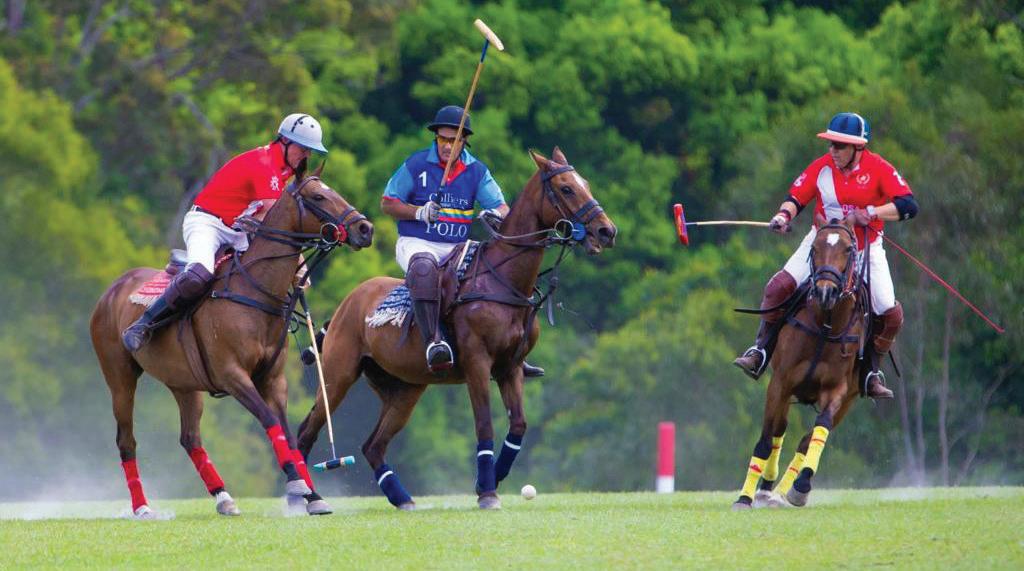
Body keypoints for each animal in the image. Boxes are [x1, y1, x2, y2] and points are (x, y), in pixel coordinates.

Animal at [90, 169, 373, 518]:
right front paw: (297, 484)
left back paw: (223, 497)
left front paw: (313, 496)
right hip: (119, 375)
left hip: (183, 383)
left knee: (190, 437)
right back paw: (143, 508)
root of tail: (113, 288)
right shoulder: (232, 375)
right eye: (318, 196)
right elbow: (269, 421)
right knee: (126, 440)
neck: (255, 292)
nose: (365, 228)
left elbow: (288, 434)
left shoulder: (273, 378)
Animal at [295, 147, 617, 509]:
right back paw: (307, 498)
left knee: (373, 445)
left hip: (405, 388)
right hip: (338, 375)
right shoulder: (477, 361)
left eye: (585, 184)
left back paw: (402, 498)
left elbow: (518, 425)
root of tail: (346, 303)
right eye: (566, 188)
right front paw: (488, 491)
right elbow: (485, 425)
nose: (606, 231)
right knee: (307, 431)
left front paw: (490, 479)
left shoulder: (511, 367)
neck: (504, 280)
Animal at [733, 214, 866, 510]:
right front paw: (744, 497)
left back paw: (785, 491)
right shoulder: (780, 382)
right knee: (779, 429)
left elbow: (819, 429)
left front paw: (802, 486)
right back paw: (766, 489)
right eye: (814, 248)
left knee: (807, 439)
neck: (825, 325)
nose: (826, 292)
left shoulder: (838, 390)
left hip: (849, 398)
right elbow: (765, 439)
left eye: (848, 250)